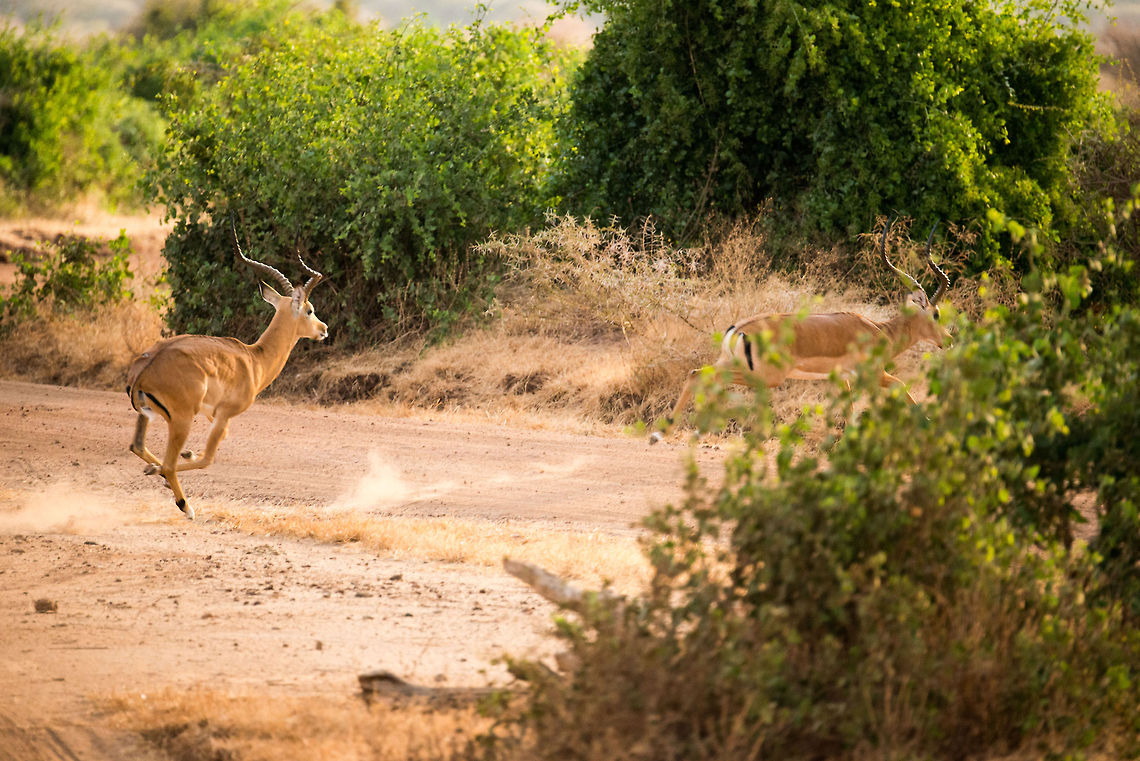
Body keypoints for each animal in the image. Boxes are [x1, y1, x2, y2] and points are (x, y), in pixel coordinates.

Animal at [126, 226, 328, 518]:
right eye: (309, 310)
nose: (324, 329)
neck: (254, 359)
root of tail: (144, 371)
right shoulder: (224, 415)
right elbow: (208, 458)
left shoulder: (214, 415)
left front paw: (176, 461)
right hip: (182, 420)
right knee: (169, 464)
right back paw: (186, 506)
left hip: (148, 416)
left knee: (139, 446)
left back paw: (157, 469)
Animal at [649, 220, 951, 444]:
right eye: (936, 313)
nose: (948, 340)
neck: (879, 331)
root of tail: (739, 330)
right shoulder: (874, 375)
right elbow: (901, 387)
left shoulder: (842, 379)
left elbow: (850, 411)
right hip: (767, 377)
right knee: (705, 378)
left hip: (730, 364)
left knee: (696, 374)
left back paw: (662, 433)